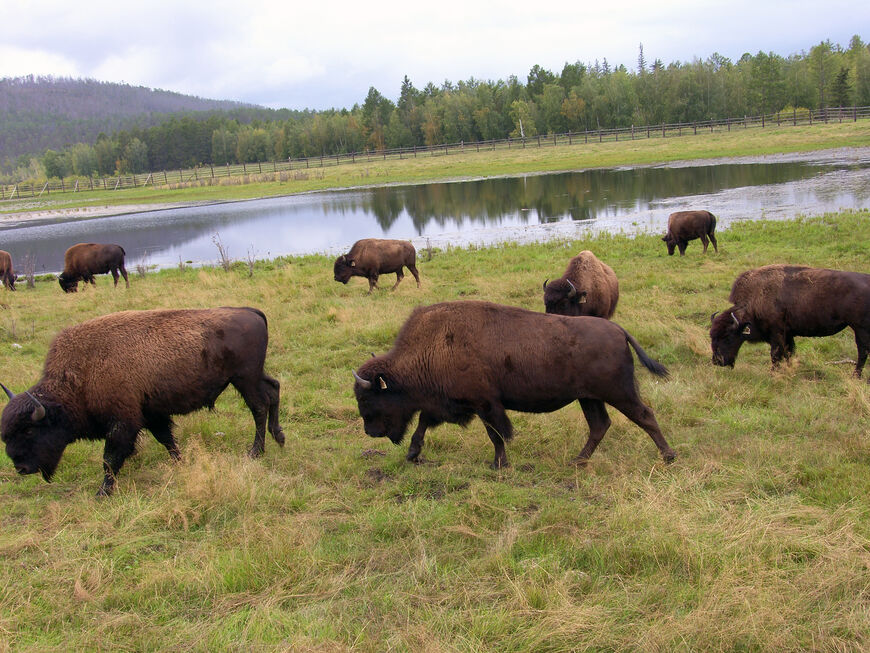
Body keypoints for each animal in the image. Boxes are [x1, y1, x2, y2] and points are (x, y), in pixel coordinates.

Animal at [0, 306, 286, 494]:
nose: (21, 467)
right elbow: (167, 439)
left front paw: (103, 492)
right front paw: (179, 463)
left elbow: (110, 457)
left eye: (28, 430)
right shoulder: (150, 414)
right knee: (273, 390)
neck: (81, 374)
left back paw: (255, 452)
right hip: (253, 376)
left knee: (259, 407)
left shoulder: (122, 422)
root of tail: (251, 312)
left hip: (244, 378)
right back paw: (279, 437)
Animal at [350, 300, 676, 468]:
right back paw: (577, 461)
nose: (370, 431)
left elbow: (497, 435)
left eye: (368, 399)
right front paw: (412, 454)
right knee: (600, 425)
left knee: (644, 415)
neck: (432, 346)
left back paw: (669, 457)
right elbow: (422, 426)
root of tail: (619, 331)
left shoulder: (485, 405)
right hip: (589, 397)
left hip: (618, 393)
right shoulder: (446, 405)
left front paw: (499, 464)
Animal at [712, 264, 868, 376]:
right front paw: (788, 370)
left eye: (727, 337)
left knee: (863, 352)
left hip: (860, 329)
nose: (717, 361)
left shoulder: (777, 334)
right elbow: (788, 353)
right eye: (712, 336)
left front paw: (773, 374)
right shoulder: (787, 334)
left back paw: (856, 376)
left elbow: (776, 355)